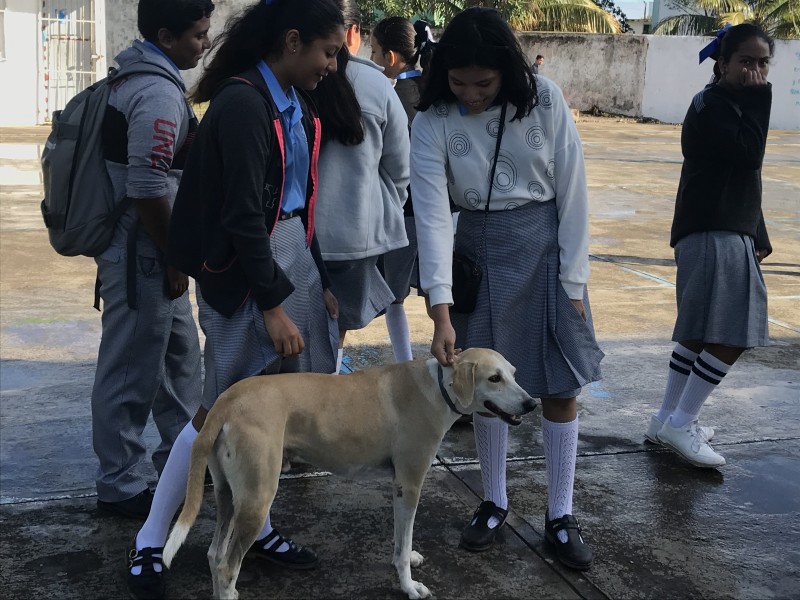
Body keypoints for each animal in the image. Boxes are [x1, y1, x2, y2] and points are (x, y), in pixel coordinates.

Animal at [126, 2, 346, 596]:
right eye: (329, 51)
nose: (329, 72)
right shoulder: (248, 150)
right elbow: (247, 216)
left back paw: (265, 541)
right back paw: (153, 553)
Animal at [162, 346, 536, 600]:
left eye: (514, 373)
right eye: (494, 378)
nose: (531, 404)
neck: (439, 386)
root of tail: (227, 400)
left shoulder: (398, 486)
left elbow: (401, 540)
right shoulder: (410, 483)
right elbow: (404, 543)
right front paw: (409, 586)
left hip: (228, 496)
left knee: (215, 556)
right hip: (257, 498)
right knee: (227, 566)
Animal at [410, 7, 604, 568]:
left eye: (484, 82)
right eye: (457, 83)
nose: (529, 405)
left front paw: (563, 529)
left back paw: (561, 529)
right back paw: (490, 513)